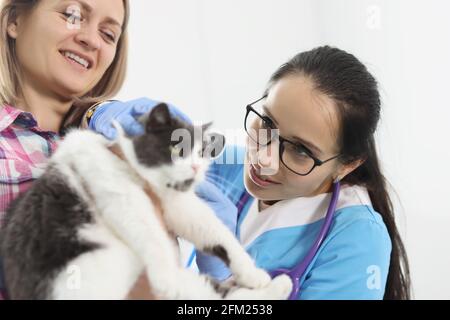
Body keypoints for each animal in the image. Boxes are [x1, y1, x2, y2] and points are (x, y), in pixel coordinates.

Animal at [0, 103, 292, 300]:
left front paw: (252, 274)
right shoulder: (115, 190)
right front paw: (165, 277)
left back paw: (279, 283)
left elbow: (217, 233)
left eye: (202, 152)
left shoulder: (178, 204)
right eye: (177, 147)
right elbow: (148, 231)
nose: (196, 167)